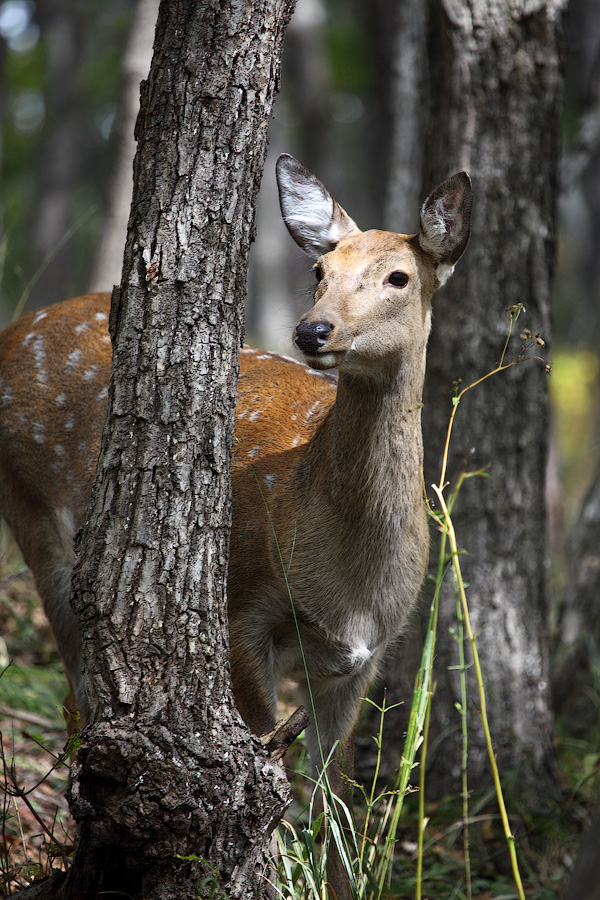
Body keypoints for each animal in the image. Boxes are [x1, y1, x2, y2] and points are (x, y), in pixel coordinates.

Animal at [0, 155, 472, 892]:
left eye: (399, 277)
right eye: (319, 270)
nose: (312, 331)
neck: (348, 582)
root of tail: (11, 332)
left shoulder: (365, 659)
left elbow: (336, 804)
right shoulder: (242, 610)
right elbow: (265, 773)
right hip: (33, 514)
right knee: (77, 699)